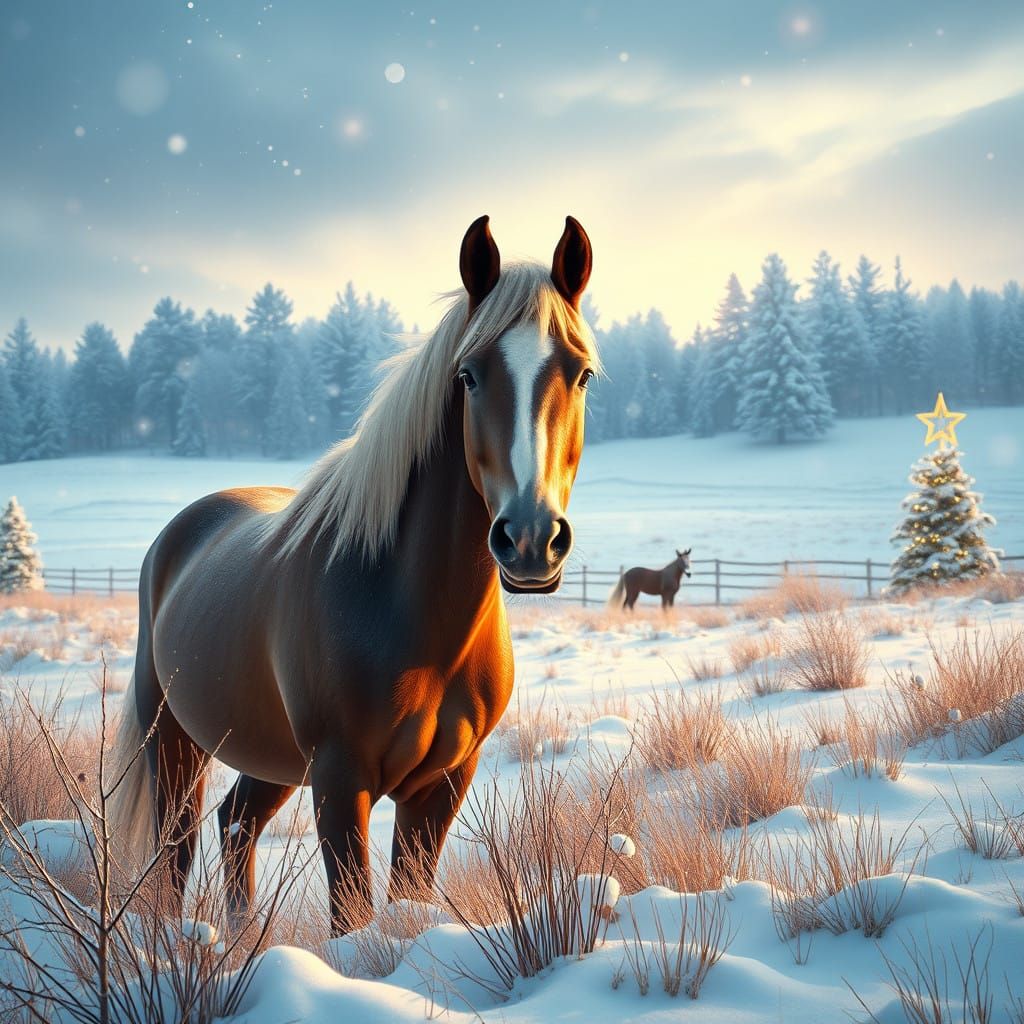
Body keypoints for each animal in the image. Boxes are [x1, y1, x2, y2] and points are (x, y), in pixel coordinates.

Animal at [108, 214, 598, 935]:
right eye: (469, 375)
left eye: (582, 373)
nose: (530, 539)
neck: (409, 611)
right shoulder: (342, 780)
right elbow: (353, 913)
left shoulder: (441, 784)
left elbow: (407, 897)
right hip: (172, 740)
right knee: (177, 848)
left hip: (270, 753)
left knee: (235, 824)